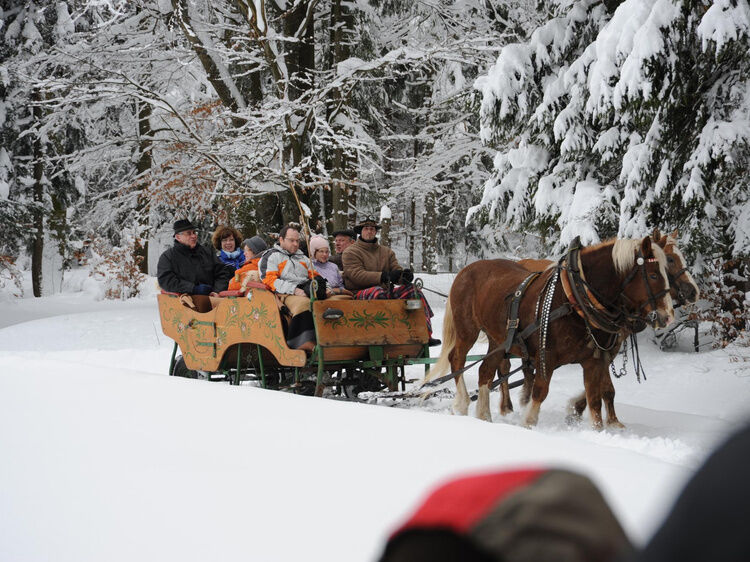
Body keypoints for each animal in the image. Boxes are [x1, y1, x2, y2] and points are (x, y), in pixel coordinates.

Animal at [426, 237, 680, 428]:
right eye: (653, 275)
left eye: (667, 271)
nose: (667, 316)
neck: (574, 298)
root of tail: (466, 270)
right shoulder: (546, 356)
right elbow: (540, 392)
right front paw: (528, 422)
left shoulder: (594, 360)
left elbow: (595, 400)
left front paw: (600, 430)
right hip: (467, 329)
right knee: (457, 360)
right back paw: (462, 403)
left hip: (498, 340)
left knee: (485, 372)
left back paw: (484, 416)